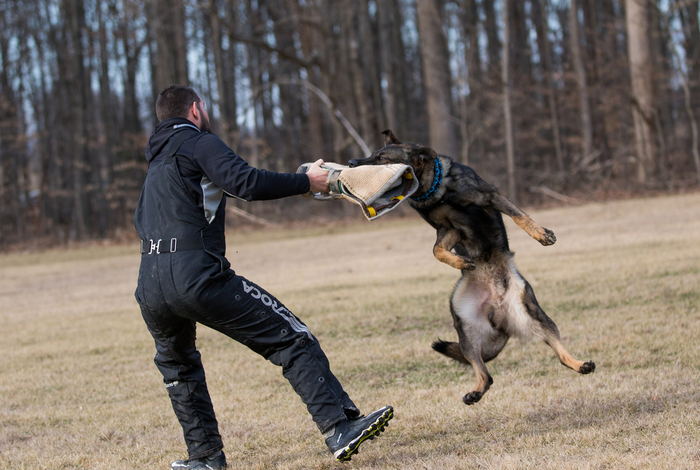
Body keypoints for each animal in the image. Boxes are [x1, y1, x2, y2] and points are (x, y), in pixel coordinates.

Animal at [348, 130, 592, 406]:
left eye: (381, 158)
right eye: (372, 155)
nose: (351, 164)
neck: (436, 190)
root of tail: (500, 312)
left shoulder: (490, 197)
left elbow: (519, 215)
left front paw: (541, 234)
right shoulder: (449, 228)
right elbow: (436, 250)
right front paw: (461, 261)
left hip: (534, 314)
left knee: (559, 352)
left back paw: (581, 364)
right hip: (465, 332)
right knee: (486, 374)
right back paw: (474, 392)